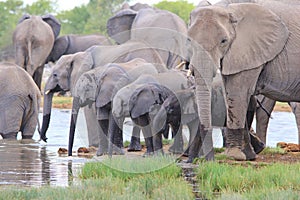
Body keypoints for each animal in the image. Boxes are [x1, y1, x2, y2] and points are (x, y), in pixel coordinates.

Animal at [189, 0, 300, 161]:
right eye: (189, 40)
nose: (209, 160)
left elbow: (237, 93)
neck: (229, 8)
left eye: (224, 41)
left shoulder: (249, 50)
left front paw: (234, 156)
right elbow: (233, 95)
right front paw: (248, 155)